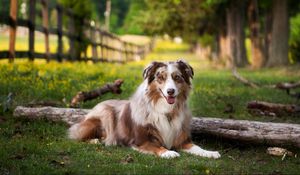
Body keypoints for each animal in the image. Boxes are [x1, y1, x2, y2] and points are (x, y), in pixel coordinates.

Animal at [69, 59, 221, 159]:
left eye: (177, 77)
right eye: (161, 78)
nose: (170, 91)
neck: (166, 111)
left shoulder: (182, 140)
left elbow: (197, 147)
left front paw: (210, 153)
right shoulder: (141, 141)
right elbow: (156, 147)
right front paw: (168, 152)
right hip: (104, 116)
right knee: (76, 135)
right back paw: (95, 140)